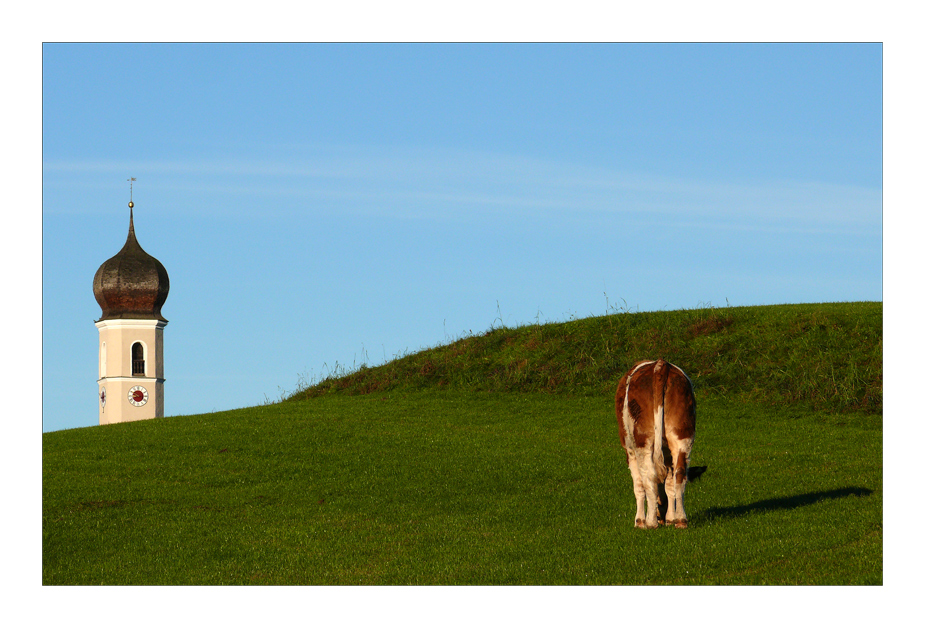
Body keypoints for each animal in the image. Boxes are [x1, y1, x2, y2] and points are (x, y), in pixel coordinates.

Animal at [616, 358, 696, 528]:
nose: (661, 517)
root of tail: (660, 364)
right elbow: (669, 485)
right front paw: (671, 518)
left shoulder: (630, 451)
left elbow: (639, 485)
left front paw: (639, 521)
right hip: (683, 436)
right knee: (680, 474)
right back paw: (680, 519)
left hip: (642, 440)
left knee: (649, 475)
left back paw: (651, 522)